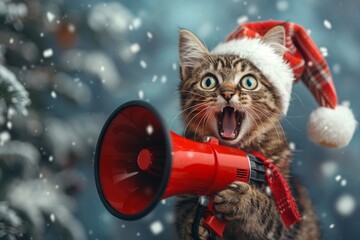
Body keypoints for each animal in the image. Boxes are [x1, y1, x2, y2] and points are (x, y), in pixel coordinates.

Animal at [174, 26, 320, 240]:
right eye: (208, 81)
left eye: (248, 82)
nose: (227, 93)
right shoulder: (184, 198)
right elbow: (185, 220)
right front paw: (196, 226)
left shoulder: (289, 224)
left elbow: (268, 214)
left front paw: (242, 197)